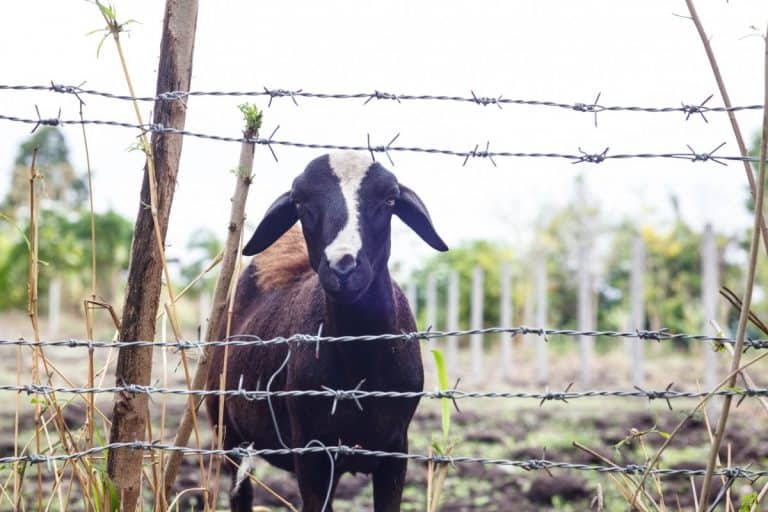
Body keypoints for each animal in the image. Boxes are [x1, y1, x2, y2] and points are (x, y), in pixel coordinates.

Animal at [206, 151, 448, 512]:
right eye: (300, 202)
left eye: (390, 199)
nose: (342, 267)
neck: (360, 364)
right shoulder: (311, 453)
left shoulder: (394, 452)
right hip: (226, 430)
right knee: (240, 493)